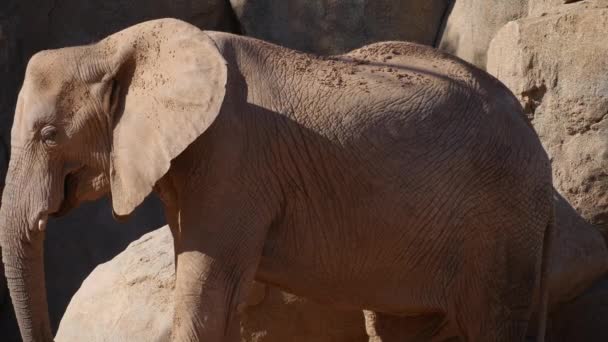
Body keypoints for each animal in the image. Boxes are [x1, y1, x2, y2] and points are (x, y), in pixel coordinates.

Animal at [0, 18, 556, 342]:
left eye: (48, 135)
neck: (112, 46)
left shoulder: (234, 157)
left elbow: (207, 291)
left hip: (501, 224)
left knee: (493, 321)